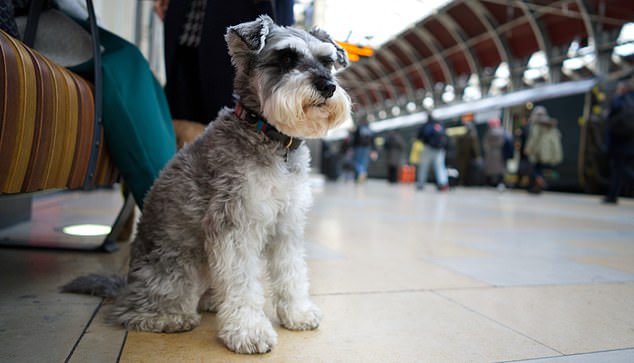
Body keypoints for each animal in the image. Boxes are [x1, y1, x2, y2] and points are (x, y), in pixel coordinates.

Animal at [62, 15, 350, 354]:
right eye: (286, 58)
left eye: (327, 62)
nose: (328, 86)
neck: (268, 136)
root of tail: (127, 285)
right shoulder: (235, 225)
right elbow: (243, 283)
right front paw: (248, 331)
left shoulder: (287, 226)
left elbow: (291, 272)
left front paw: (298, 313)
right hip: (181, 266)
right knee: (134, 311)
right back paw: (168, 317)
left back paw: (213, 301)